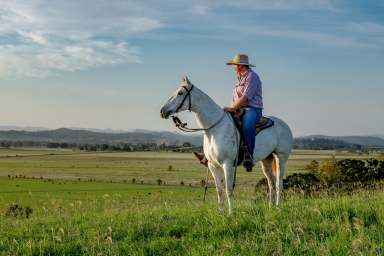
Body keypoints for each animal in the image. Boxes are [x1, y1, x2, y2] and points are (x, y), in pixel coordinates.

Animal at [160, 77, 292, 215]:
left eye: (180, 93)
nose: (162, 111)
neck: (214, 129)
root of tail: (285, 125)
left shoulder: (227, 164)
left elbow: (228, 189)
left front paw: (231, 213)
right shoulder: (213, 166)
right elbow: (219, 190)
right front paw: (221, 212)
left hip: (281, 158)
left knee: (279, 183)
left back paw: (278, 206)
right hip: (266, 160)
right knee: (271, 183)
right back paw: (271, 207)